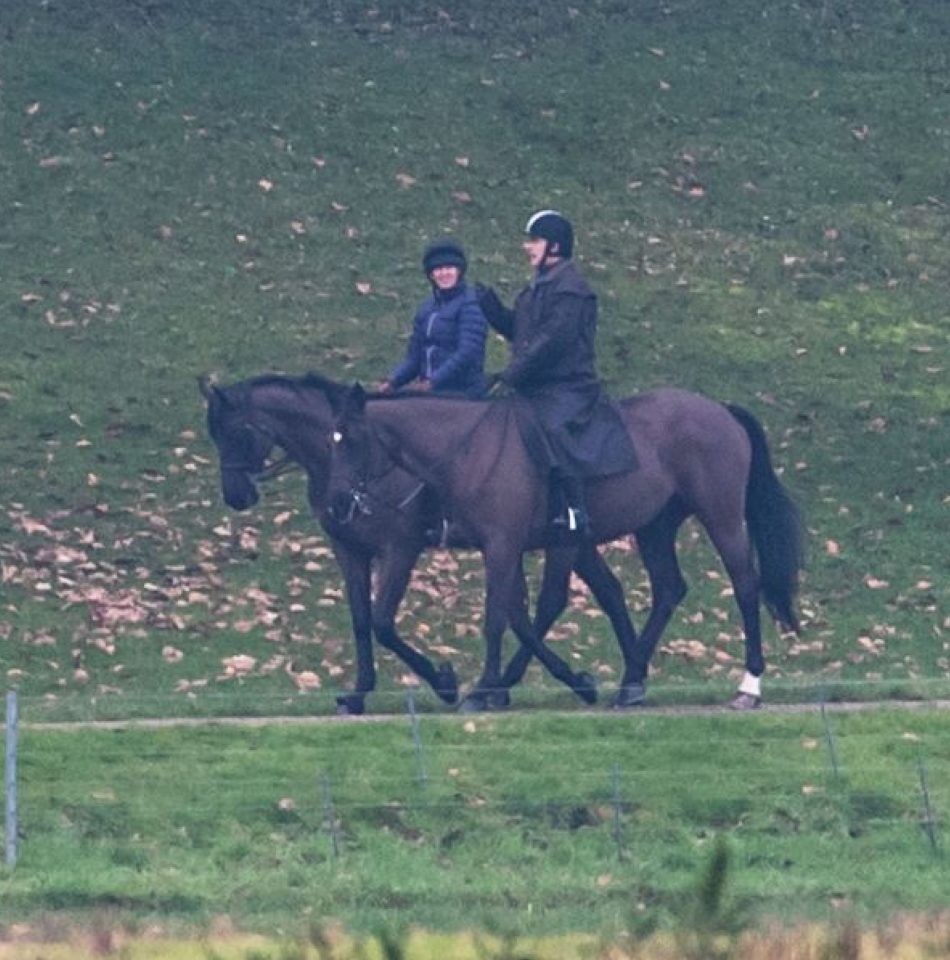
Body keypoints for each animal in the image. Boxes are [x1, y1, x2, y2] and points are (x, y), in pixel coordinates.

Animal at [202, 374, 648, 712]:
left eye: (235, 432)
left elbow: (383, 622)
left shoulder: (401, 547)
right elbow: (361, 621)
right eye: (215, 436)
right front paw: (359, 692)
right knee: (595, 594)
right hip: (560, 541)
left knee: (548, 602)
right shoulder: (350, 551)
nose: (236, 496)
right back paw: (614, 678)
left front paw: (444, 681)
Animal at [330, 384, 812, 712]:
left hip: (721, 516)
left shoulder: (502, 544)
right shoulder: (511, 547)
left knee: (745, 585)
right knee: (668, 589)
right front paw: (535, 682)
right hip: (654, 527)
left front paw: (483, 688)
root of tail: (720, 411)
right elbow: (519, 614)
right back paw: (631, 681)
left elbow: (499, 617)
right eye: (332, 439)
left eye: (350, 438)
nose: (339, 505)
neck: (470, 448)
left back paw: (748, 686)